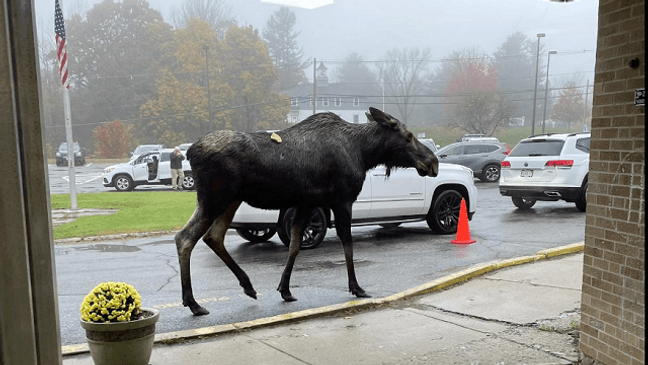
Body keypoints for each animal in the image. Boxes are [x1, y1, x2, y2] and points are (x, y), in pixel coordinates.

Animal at [175, 106, 438, 314]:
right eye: (408, 135)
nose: (433, 162)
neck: (364, 153)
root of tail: (189, 152)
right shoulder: (342, 201)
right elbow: (347, 244)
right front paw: (356, 287)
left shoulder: (306, 202)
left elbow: (294, 245)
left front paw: (285, 289)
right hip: (214, 199)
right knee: (185, 238)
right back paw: (193, 303)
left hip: (230, 200)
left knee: (213, 236)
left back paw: (247, 286)